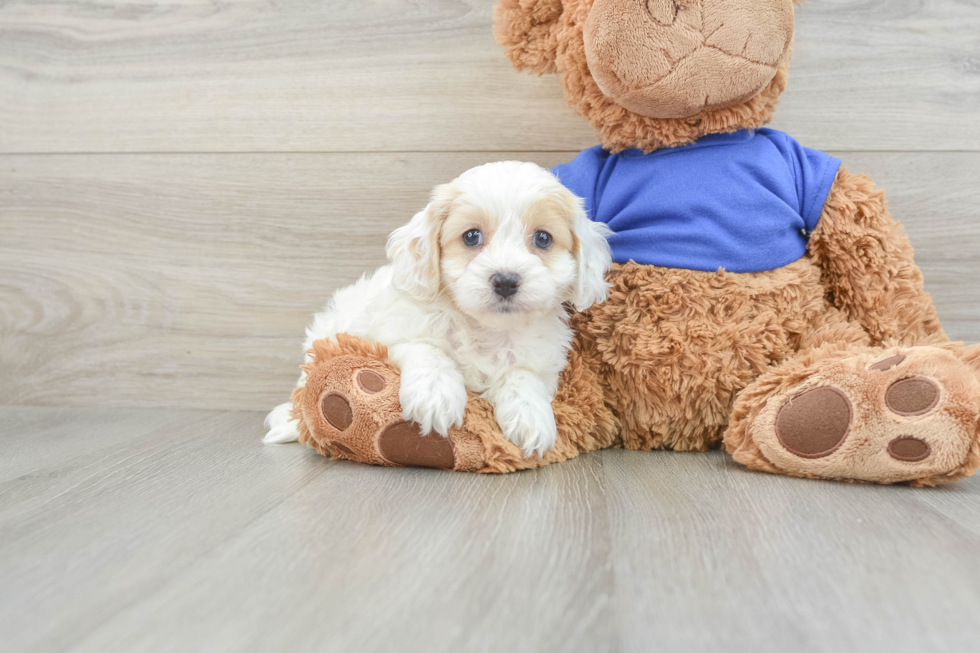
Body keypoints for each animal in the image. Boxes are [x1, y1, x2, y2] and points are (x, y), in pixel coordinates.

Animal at [264, 160, 608, 456]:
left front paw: (532, 417)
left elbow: (523, 376)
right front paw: (435, 396)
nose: (506, 280)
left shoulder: (542, 363)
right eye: (472, 236)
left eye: (543, 238)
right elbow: (428, 349)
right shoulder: (393, 333)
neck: (486, 328)